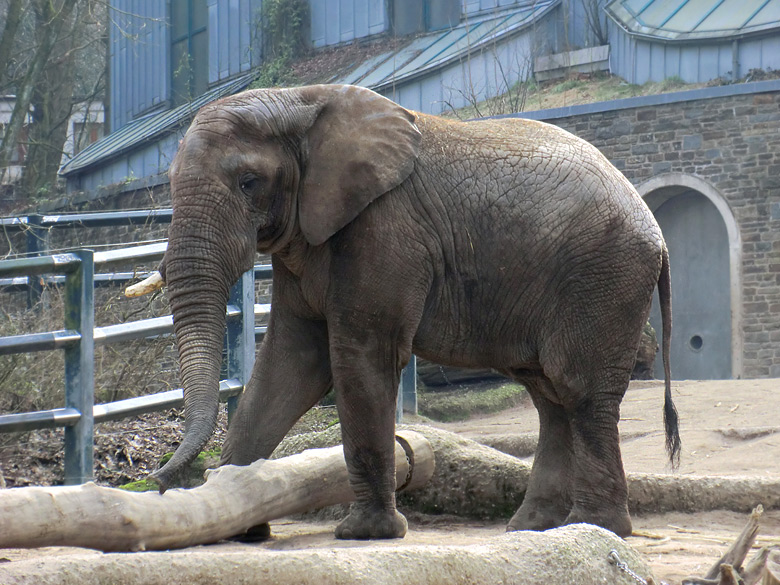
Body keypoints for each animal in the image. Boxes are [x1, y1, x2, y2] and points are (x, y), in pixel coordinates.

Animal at [145, 82, 676, 540]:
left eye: (248, 182)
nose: (161, 482)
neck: (298, 101)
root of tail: (655, 227)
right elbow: (290, 364)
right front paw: (240, 520)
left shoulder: (386, 227)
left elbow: (359, 358)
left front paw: (366, 534)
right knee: (549, 393)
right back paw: (532, 528)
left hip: (603, 275)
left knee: (579, 389)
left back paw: (594, 528)